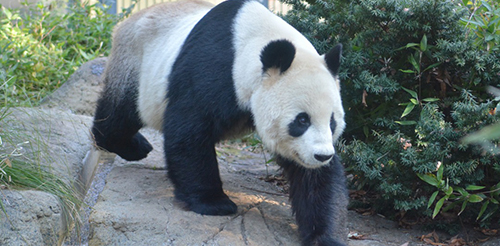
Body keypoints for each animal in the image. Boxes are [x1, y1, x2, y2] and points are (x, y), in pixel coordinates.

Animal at [91, 0, 348, 245]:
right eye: (302, 120)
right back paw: (131, 145)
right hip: (136, 64)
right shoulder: (212, 69)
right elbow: (188, 132)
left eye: (332, 121)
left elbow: (314, 179)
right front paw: (214, 203)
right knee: (120, 113)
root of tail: (125, 23)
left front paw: (324, 235)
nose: (322, 155)